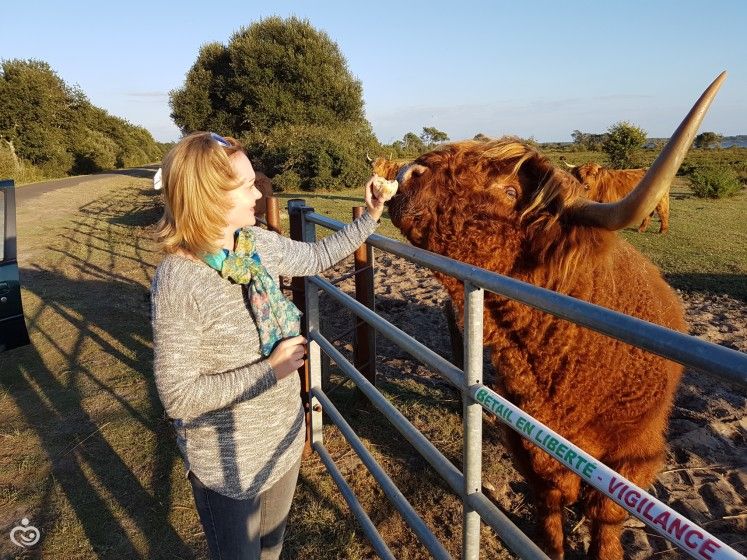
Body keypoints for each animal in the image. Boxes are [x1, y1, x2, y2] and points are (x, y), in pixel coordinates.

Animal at [374, 75, 724, 560]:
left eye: (509, 192)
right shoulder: (525, 436)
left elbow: (606, 514)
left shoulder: (635, 451)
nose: (409, 172)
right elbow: (548, 500)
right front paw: (551, 545)